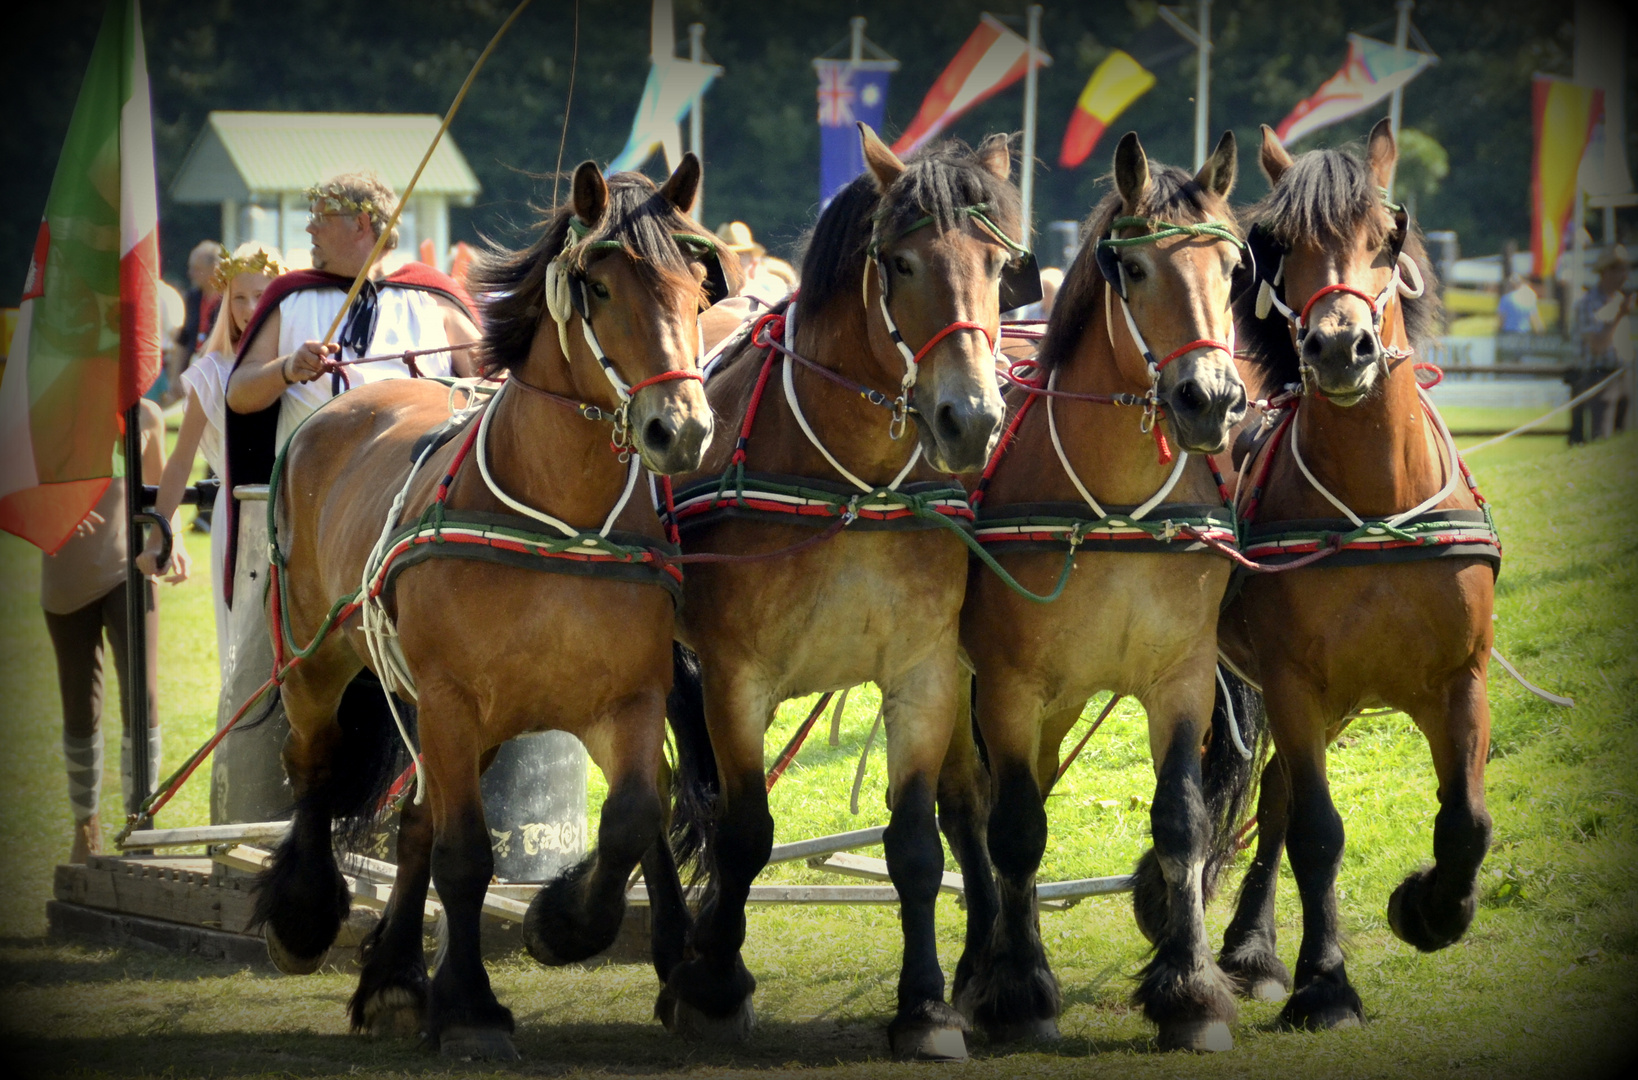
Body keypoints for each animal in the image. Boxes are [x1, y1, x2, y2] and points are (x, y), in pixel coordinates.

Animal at [252, 156, 733, 1061]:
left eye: (699, 290)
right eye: (600, 287)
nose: (680, 430)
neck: (559, 516)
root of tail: (352, 400)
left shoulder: (628, 699)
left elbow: (632, 819)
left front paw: (565, 924)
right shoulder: (449, 700)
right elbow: (468, 856)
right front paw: (472, 1006)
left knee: (415, 824)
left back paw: (396, 980)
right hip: (318, 663)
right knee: (317, 766)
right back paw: (305, 915)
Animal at [661, 128, 1022, 1061]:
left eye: (1002, 265)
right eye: (899, 262)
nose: (971, 418)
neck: (851, 480)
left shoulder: (925, 670)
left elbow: (919, 844)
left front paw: (925, 1006)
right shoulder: (732, 676)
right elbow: (743, 830)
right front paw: (716, 983)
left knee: (967, 807)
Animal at [950, 131, 1264, 1048]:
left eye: (1232, 268)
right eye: (1134, 268)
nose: (1211, 399)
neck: (1116, 504)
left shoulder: (1183, 678)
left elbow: (1180, 821)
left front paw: (1189, 990)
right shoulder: (1007, 687)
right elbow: (1015, 830)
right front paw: (1020, 990)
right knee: (973, 813)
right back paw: (980, 962)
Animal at [1218, 120, 1500, 1029]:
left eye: (1387, 236)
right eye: (1280, 246)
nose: (1341, 346)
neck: (1376, 504)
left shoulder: (1458, 677)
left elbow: (1467, 821)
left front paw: (1431, 908)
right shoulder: (1292, 681)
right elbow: (1318, 830)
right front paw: (1326, 981)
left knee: (1270, 792)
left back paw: (1250, 945)